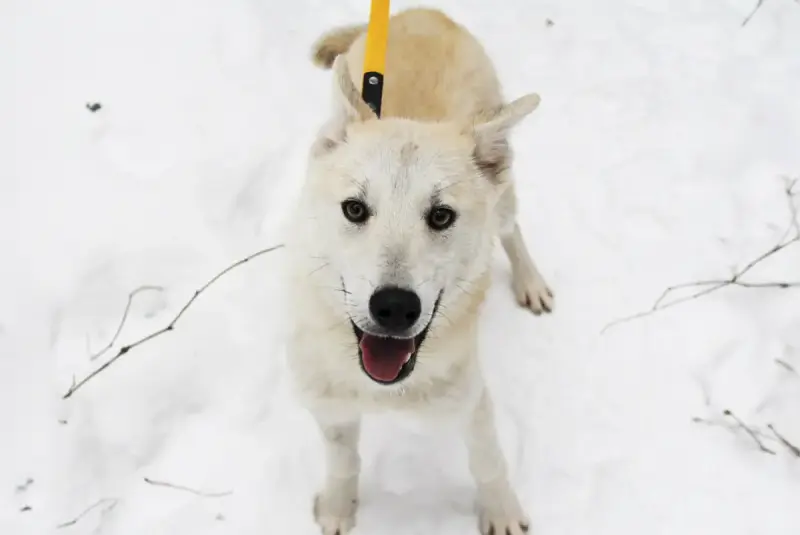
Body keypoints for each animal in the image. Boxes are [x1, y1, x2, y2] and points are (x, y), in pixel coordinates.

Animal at [284, 7, 552, 535]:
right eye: (354, 209)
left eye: (442, 216)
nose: (394, 308)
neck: (383, 388)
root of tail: (423, 13)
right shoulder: (329, 407)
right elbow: (342, 463)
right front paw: (338, 509)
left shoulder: (471, 402)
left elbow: (488, 464)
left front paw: (501, 512)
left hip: (505, 199)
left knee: (512, 230)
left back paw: (530, 282)